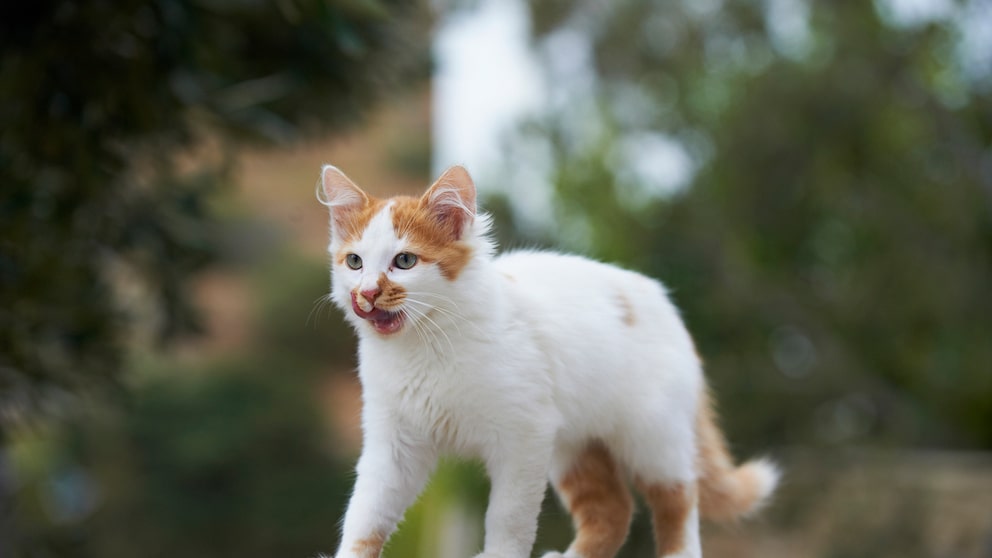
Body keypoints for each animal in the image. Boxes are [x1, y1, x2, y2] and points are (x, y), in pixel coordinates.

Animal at [322, 165, 780, 558]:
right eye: (354, 262)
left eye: (404, 261)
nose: (366, 294)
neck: (423, 347)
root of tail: (664, 304)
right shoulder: (393, 445)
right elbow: (365, 516)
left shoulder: (522, 437)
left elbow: (507, 518)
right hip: (575, 445)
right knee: (613, 512)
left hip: (650, 434)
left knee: (679, 498)